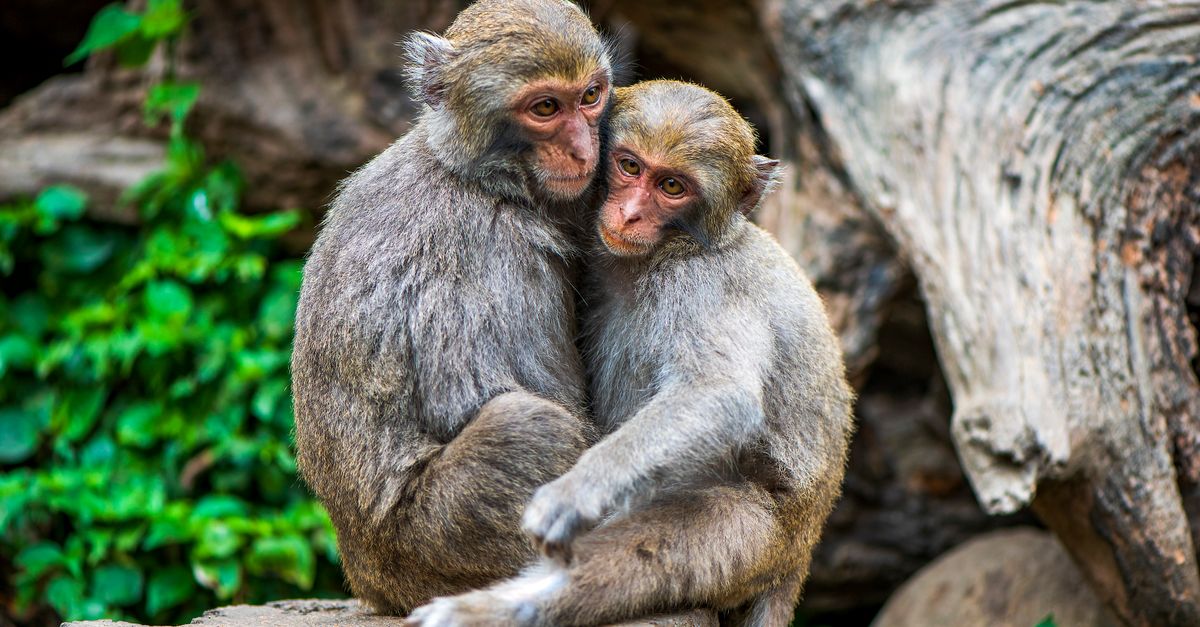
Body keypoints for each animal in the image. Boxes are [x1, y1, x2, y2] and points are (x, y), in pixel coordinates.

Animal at [289, 0, 615, 615]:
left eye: (590, 96)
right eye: (545, 107)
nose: (584, 150)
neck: (479, 179)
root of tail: (372, 577)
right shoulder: (497, 255)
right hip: (441, 541)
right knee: (529, 425)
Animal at [404, 80, 855, 627]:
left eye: (672, 187)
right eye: (629, 166)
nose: (631, 213)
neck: (672, 250)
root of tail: (802, 546)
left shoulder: (702, 284)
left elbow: (717, 394)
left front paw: (576, 493)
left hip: (757, 533)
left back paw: (492, 610)